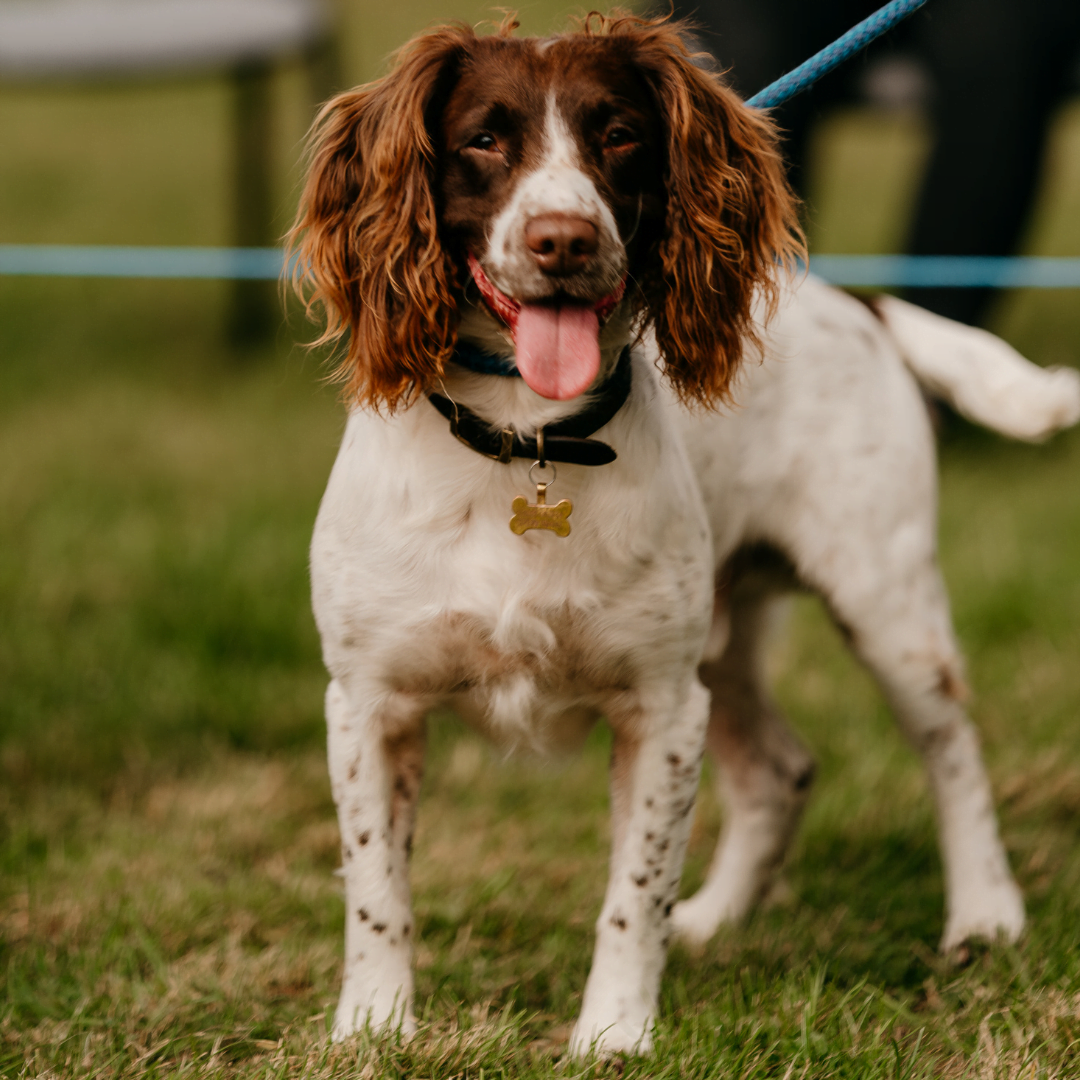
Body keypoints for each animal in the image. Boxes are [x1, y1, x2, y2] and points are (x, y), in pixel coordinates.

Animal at [287, 10, 1080, 1054]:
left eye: (620, 134)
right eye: (484, 139)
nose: (564, 240)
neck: (526, 440)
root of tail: (856, 300)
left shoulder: (660, 705)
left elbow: (634, 890)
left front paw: (614, 1035)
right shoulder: (368, 702)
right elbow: (377, 887)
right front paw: (374, 1028)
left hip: (885, 602)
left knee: (951, 751)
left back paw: (985, 914)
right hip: (724, 640)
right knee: (781, 770)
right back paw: (717, 919)